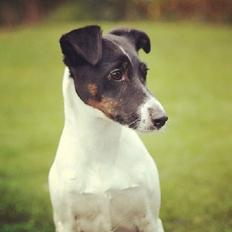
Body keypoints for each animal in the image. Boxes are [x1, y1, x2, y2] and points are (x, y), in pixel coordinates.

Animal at [49, 25, 168, 232]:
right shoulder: (66, 223)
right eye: (116, 74)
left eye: (144, 73)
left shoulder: (151, 221)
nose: (162, 119)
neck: (101, 146)